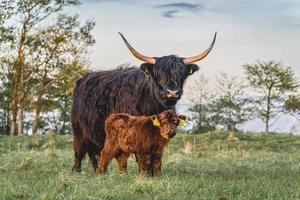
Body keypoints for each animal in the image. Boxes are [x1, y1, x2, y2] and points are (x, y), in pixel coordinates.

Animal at [71, 32, 217, 173]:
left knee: (97, 153)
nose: (172, 92)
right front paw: (145, 173)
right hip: (78, 130)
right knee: (80, 152)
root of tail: (84, 78)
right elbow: (143, 157)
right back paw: (77, 171)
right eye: (158, 75)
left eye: (182, 75)